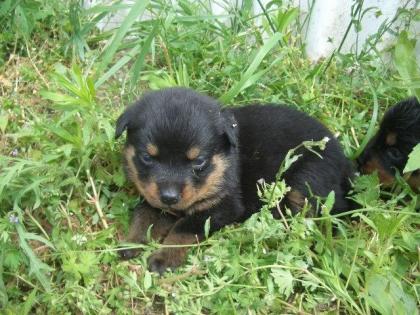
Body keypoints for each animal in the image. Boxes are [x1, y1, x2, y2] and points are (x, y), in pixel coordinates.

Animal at [115, 87, 354, 274]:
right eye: (147, 157)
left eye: (199, 161)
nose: (169, 197)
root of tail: (345, 162)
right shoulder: (154, 199)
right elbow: (143, 215)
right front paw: (131, 242)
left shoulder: (223, 205)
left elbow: (183, 228)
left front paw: (164, 257)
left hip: (306, 183)